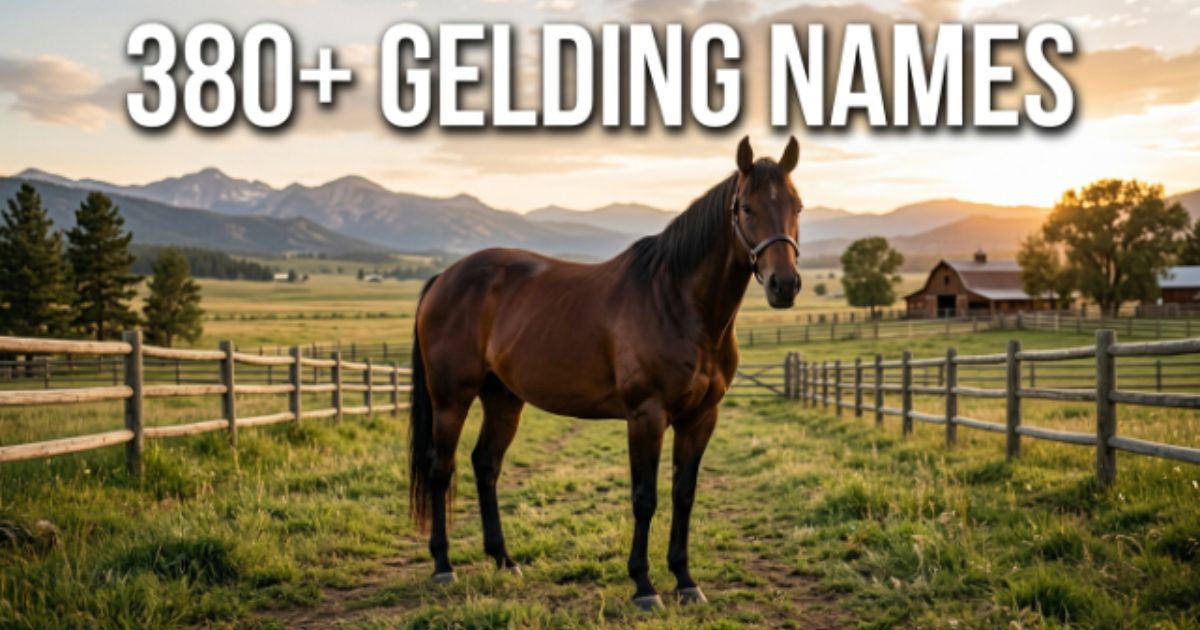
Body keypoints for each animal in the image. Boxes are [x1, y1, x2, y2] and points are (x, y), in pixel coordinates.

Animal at [407, 136, 803, 609]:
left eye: (797, 206)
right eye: (746, 207)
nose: (785, 284)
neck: (678, 302)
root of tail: (444, 277)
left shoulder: (700, 418)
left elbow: (684, 495)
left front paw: (685, 581)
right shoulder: (646, 416)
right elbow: (644, 498)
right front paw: (644, 586)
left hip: (503, 399)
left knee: (485, 466)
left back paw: (504, 560)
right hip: (451, 399)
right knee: (440, 469)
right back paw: (443, 566)